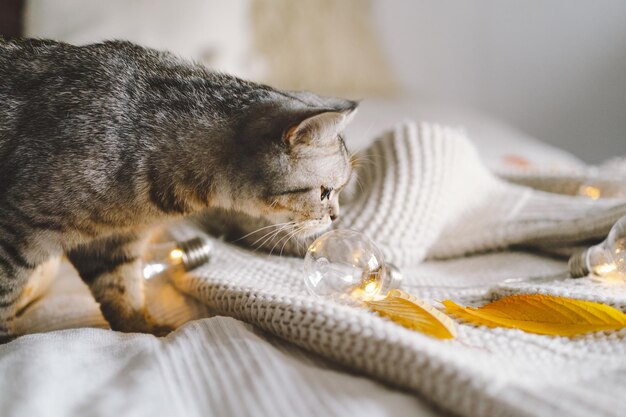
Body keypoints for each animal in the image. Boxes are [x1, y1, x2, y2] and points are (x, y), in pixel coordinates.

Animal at [0, 38, 356, 338]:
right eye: (325, 192)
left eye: (338, 191)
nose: (336, 216)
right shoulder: (15, 232)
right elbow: (5, 297)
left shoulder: (110, 244)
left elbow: (122, 291)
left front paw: (143, 328)